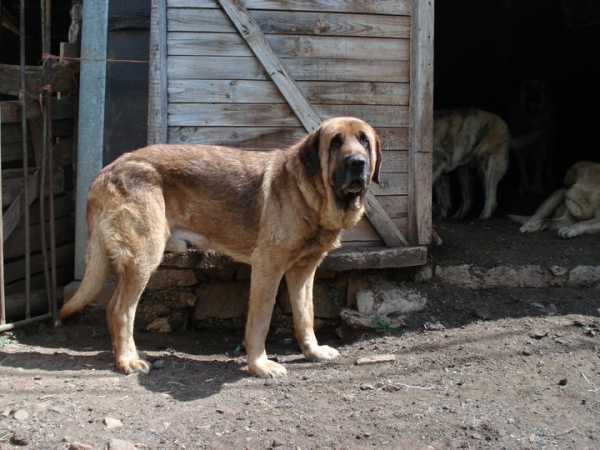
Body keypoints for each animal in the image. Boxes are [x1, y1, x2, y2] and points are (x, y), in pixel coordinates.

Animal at [59, 118, 380, 378]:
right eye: (335, 142)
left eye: (364, 140)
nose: (357, 163)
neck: (310, 194)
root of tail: (107, 170)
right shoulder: (268, 269)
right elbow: (260, 321)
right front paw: (259, 365)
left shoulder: (303, 272)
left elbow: (306, 315)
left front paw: (312, 351)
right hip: (144, 257)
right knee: (120, 310)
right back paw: (127, 360)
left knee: (114, 308)